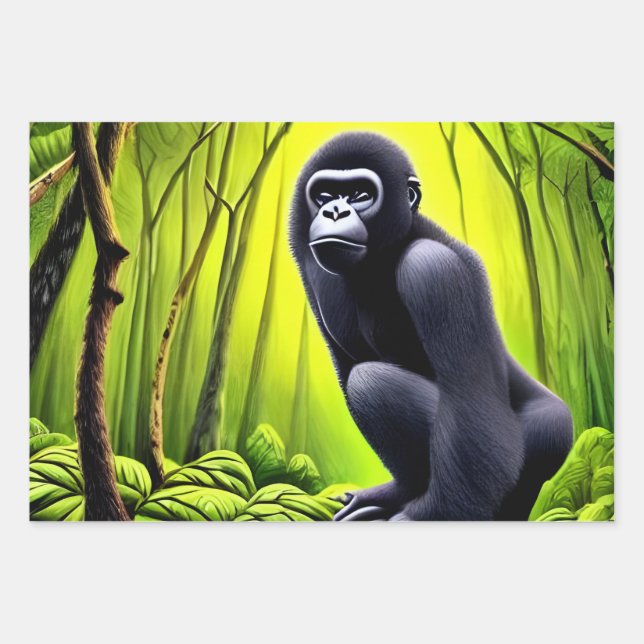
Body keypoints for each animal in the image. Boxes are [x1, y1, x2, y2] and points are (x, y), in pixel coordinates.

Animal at [288, 132, 573, 520]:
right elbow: (345, 364)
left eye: (361, 194)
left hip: (548, 435)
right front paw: (396, 493)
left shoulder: (434, 269)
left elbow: (473, 416)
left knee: (373, 383)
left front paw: (415, 516)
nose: (333, 212)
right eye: (325, 194)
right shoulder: (311, 266)